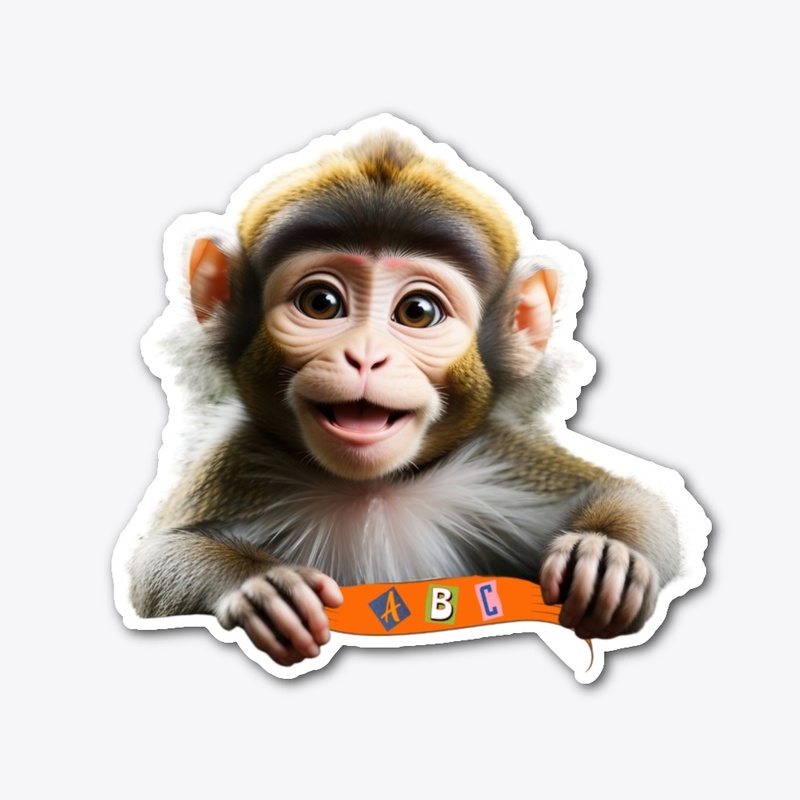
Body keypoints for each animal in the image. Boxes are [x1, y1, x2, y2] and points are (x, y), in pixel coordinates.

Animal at [124, 119, 683, 669]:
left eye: (417, 311)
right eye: (321, 303)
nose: (366, 356)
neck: (374, 490)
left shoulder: (497, 465)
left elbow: (630, 498)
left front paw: (608, 554)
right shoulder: (238, 467)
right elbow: (153, 567)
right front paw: (259, 584)